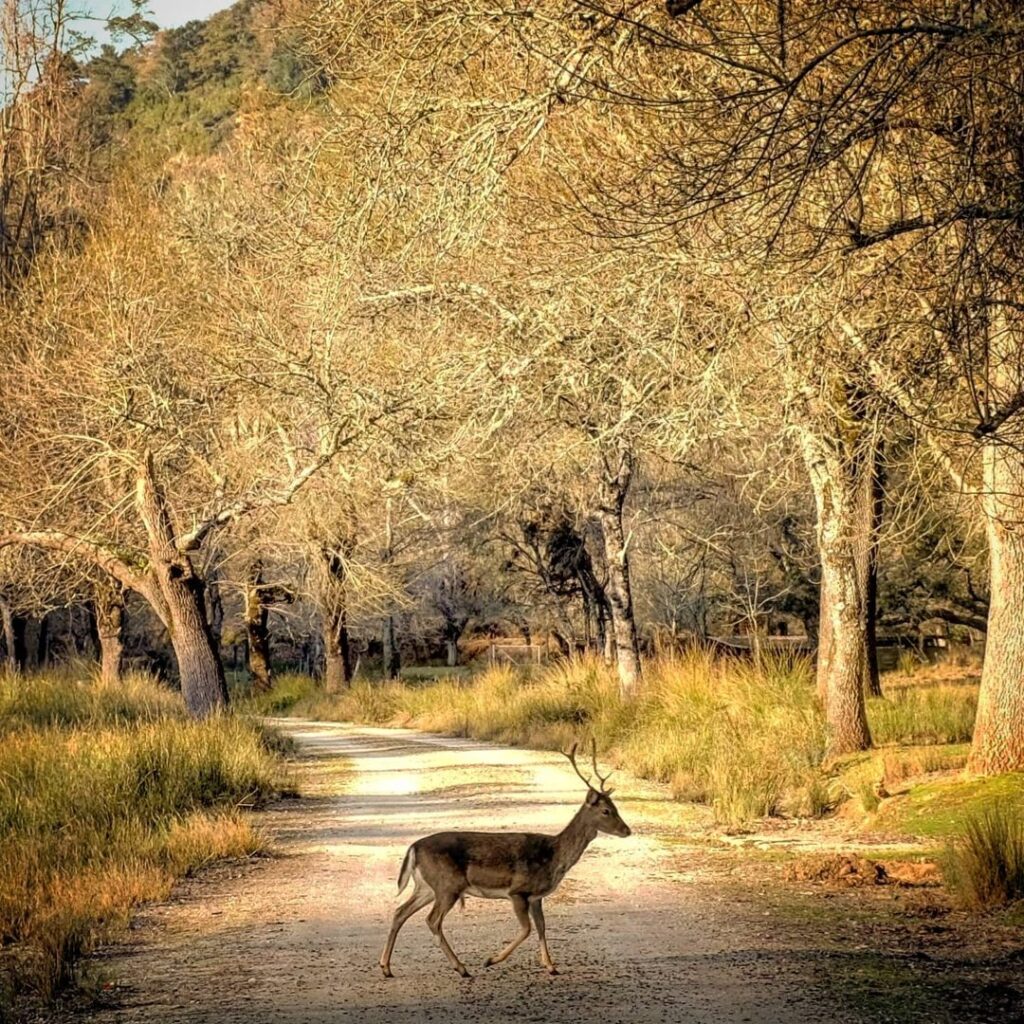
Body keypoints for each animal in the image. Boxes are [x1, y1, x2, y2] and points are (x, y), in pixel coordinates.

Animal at [380, 741, 626, 978]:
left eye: (616, 807)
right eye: (606, 811)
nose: (627, 830)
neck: (553, 857)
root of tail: (413, 847)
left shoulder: (536, 897)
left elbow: (542, 927)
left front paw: (551, 967)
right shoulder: (518, 891)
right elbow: (527, 929)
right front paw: (490, 960)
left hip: (427, 886)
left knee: (400, 912)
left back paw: (387, 967)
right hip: (448, 885)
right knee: (432, 920)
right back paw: (461, 968)